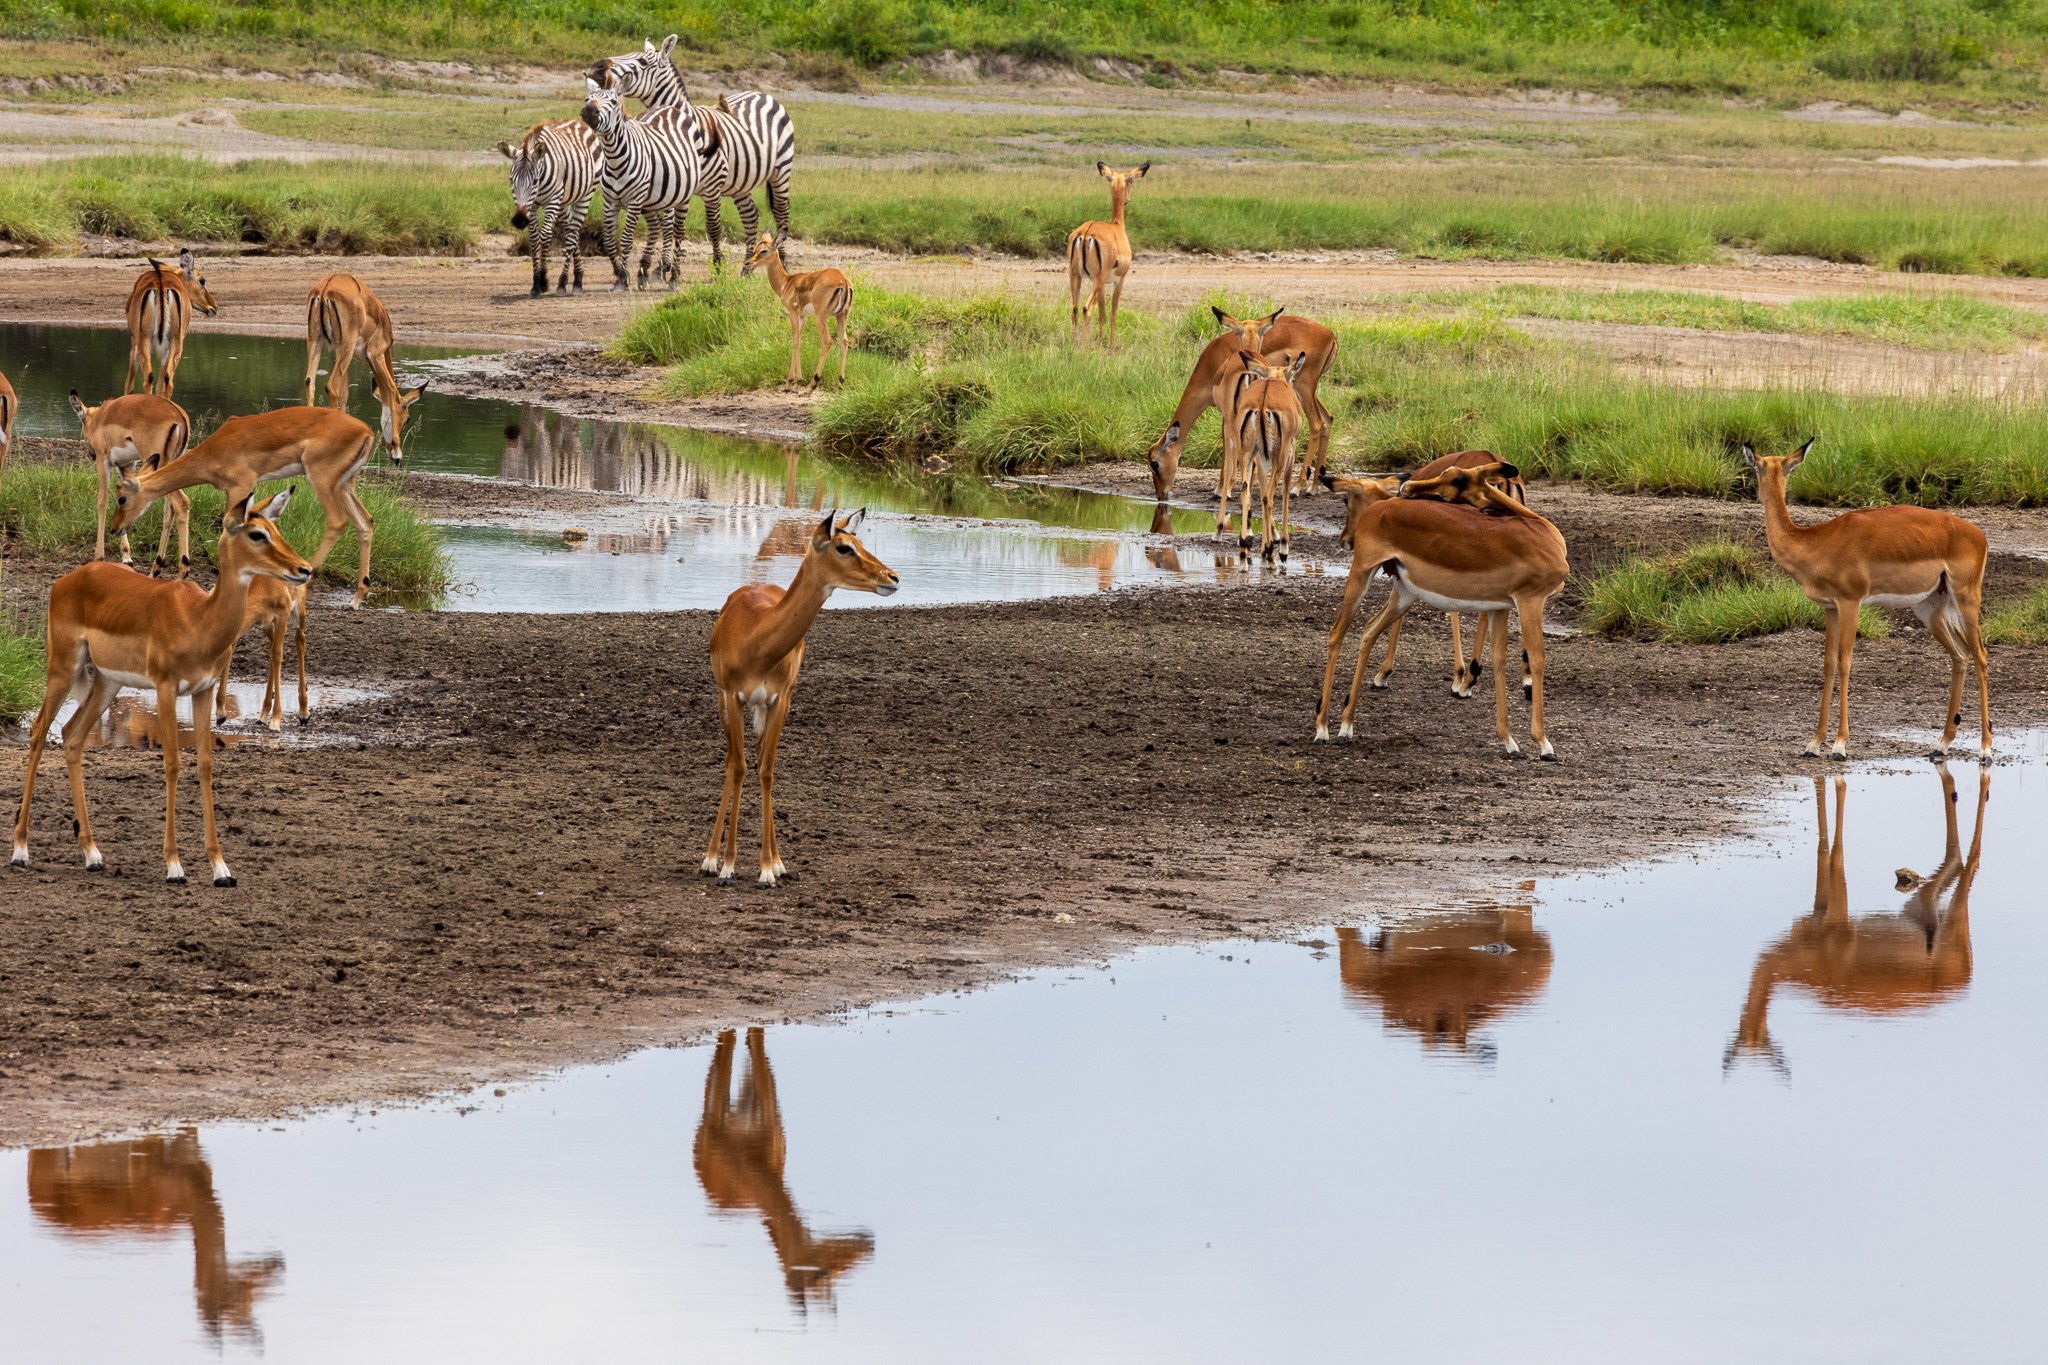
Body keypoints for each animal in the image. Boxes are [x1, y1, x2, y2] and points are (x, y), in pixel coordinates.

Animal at [581, 78, 708, 292]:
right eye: (588, 98)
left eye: (613, 102)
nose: (589, 111)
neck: (614, 159)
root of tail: (669, 108)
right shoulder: (610, 201)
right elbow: (608, 240)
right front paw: (619, 274)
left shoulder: (634, 201)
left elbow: (625, 239)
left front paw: (623, 278)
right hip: (650, 201)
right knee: (655, 228)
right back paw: (644, 272)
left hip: (682, 197)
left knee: (677, 232)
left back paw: (674, 277)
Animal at [589, 35, 794, 270]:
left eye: (642, 62)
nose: (596, 67)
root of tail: (763, 94)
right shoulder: (679, 186)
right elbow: (675, 227)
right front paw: (669, 267)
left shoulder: (712, 188)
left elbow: (712, 228)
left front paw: (717, 267)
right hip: (741, 183)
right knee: (751, 216)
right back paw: (746, 269)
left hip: (781, 171)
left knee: (781, 216)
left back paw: (782, 263)